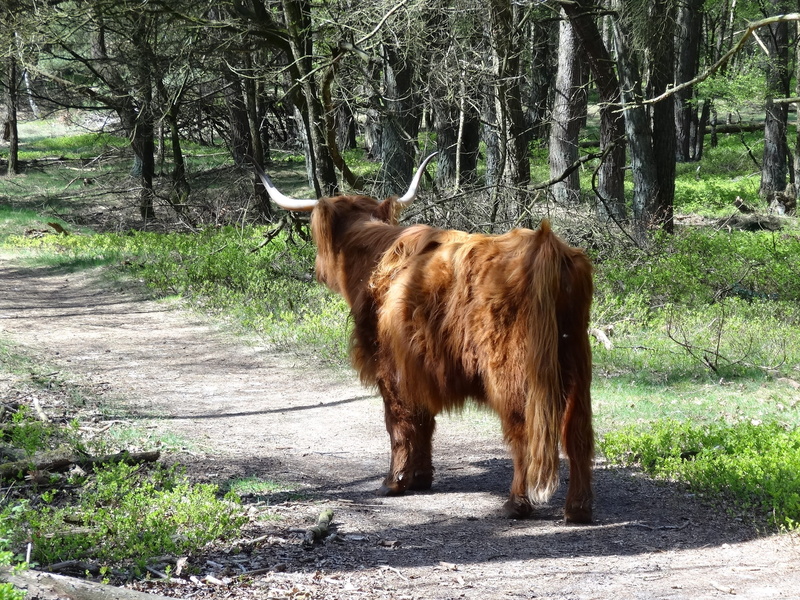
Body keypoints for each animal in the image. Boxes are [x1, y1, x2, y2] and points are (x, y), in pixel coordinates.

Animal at [257, 154, 595, 523]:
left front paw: (395, 481)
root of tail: (546, 244)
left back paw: (516, 504)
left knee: (523, 432)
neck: (373, 257)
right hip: (576, 360)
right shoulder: (417, 366)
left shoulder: (389, 367)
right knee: (578, 434)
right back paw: (578, 509)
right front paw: (420, 477)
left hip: (514, 372)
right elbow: (423, 421)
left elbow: (398, 423)